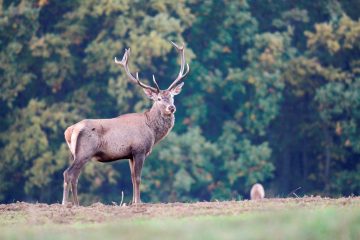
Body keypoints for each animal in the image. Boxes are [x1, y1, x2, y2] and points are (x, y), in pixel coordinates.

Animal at [61, 41, 188, 206]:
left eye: (172, 96)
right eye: (159, 99)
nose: (171, 108)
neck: (152, 131)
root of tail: (70, 131)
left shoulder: (130, 154)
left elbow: (132, 178)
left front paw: (133, 202)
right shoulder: (139, 149)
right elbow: (138, 178)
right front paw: (139, 202)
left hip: (76, 153)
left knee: (71, 175)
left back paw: (71, 203)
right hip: (85, 152)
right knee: (69, 174)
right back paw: (70, 203)